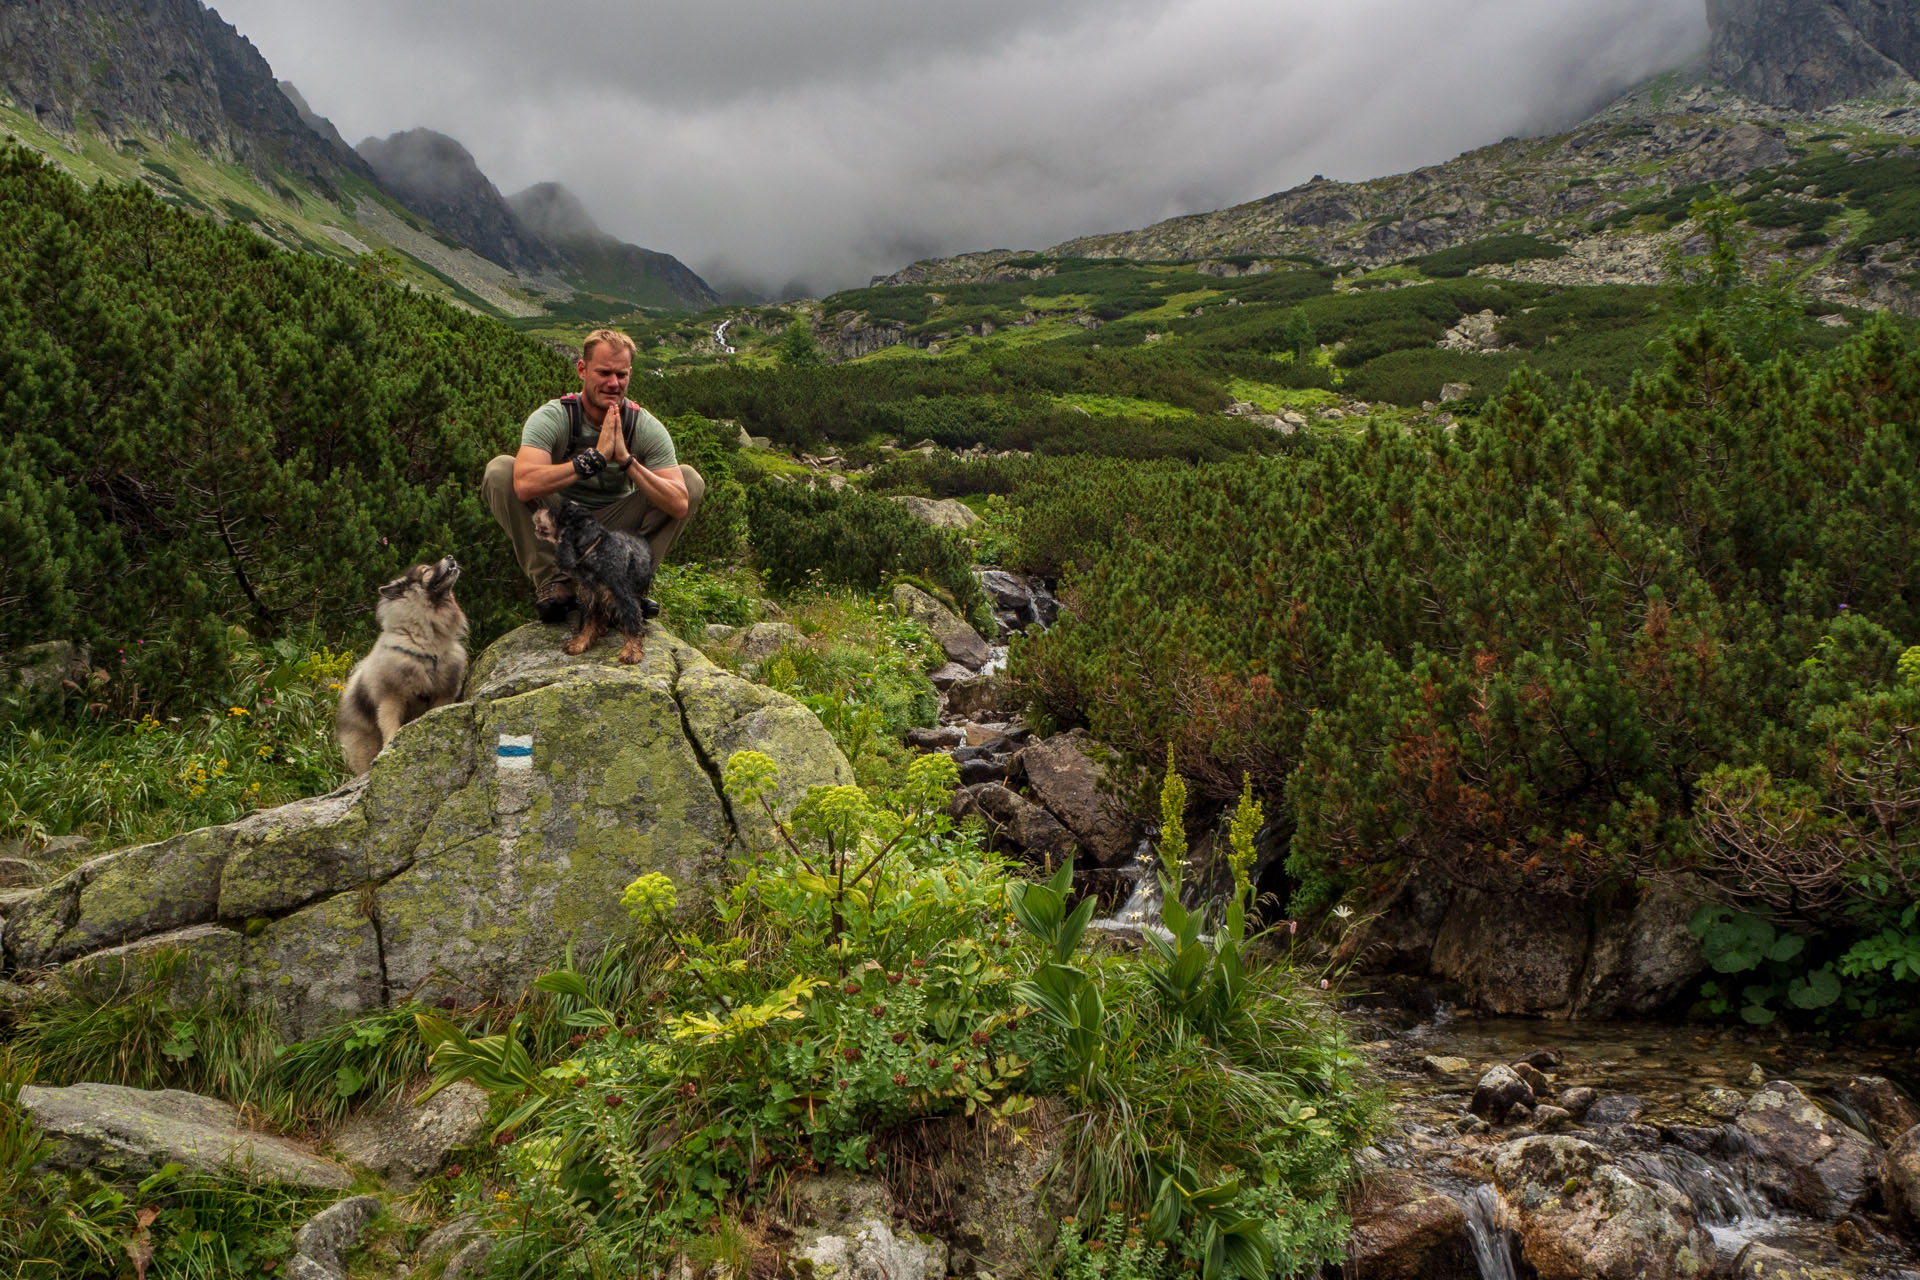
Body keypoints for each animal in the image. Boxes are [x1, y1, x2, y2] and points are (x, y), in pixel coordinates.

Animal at [336, 556, 466, 775]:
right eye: (425, 570)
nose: (450, 557)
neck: (426, 641)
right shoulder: (392, 697)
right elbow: (391, 726)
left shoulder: (442, 694)